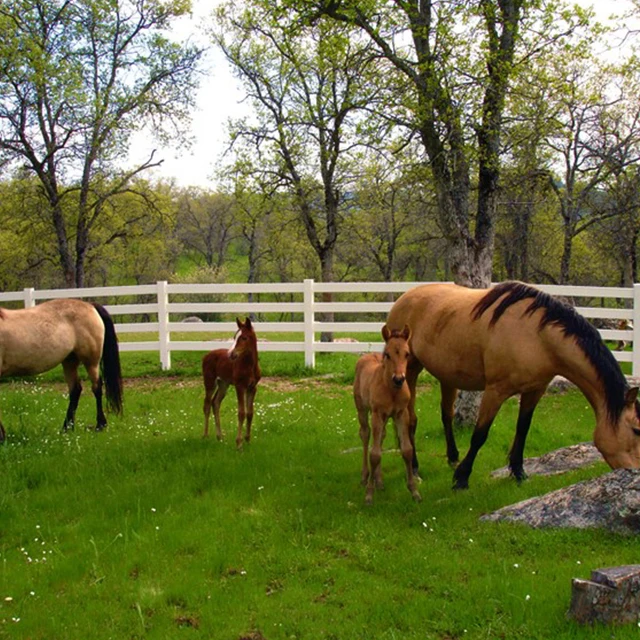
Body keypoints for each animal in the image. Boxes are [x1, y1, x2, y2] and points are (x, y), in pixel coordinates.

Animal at [0, 298, 123, 442]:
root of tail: (90, 305)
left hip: (91, 361)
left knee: (96, 388)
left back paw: (100, 425)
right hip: (69, 361)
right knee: (75, 390)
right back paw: (67, 428)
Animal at [202, 317, 261, 449]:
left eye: (244, 337)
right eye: (235, 337)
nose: (231, 354)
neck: (250, 366)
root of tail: (206, 355)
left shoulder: (252, 388)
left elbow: (250, 413)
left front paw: (248, 440)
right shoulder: (240, 387)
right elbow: (241, 413)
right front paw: (239, 443)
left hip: (223, 384)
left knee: (215, 403)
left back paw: (220, 437)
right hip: (210, 382)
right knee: (207, 405)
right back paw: (205, 435)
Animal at [353, 324, 422, 504]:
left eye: (407, 353)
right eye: (388, 355)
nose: (399, 379)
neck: (392, 390)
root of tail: (366, 356)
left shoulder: (400, 414)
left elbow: (407, 450)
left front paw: (414, 491)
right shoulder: (377, 414)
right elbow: (374, 454)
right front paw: (369, 495)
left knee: (381, 436)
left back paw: (379, 480)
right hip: (362, 409)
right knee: (365, 435)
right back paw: (365, 477)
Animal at [386, 281, 640, 490]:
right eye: (636, 430)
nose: (635, 474)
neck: (538, 336)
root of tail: (404, 298)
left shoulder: (534, 391)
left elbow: (522, 429)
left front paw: (518, 473)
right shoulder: (495, 391)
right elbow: (480, 434)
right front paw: (462, 478)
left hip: (447, 375)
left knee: (446, 415)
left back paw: (452, 456)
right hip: (410, 371)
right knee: (410, 419)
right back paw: (415, 467)